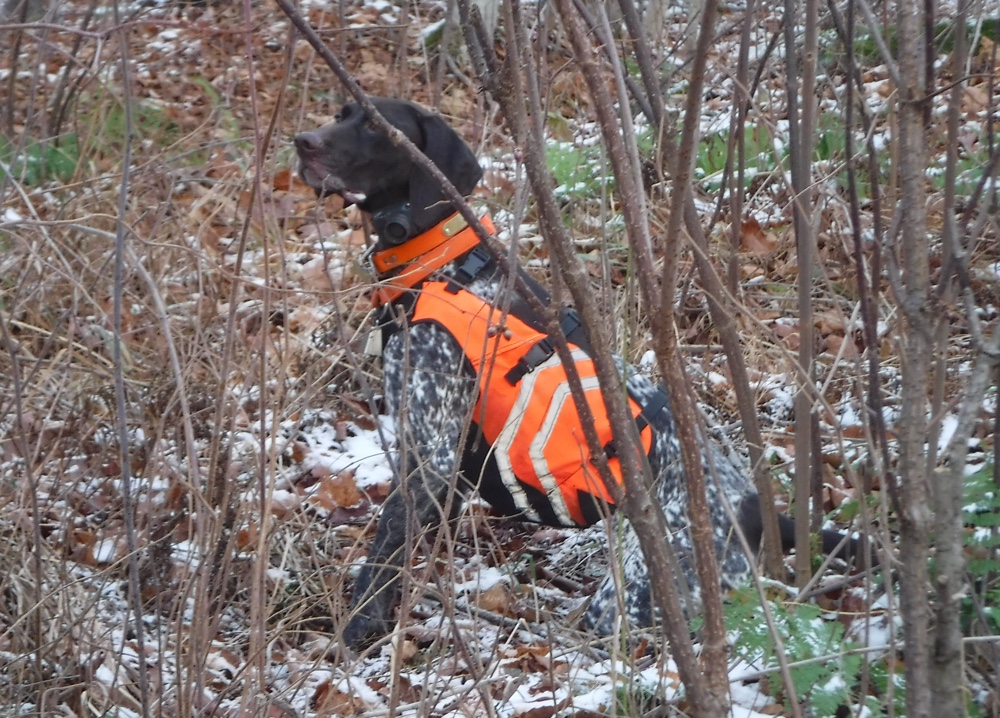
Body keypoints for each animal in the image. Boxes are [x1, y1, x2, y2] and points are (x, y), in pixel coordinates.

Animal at [292, 98, 864, 648]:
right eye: (342, 114)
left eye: (376, 125)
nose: (303, 142)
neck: (442, 265)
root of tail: (754, 512)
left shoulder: (427, 457)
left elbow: (383, 558)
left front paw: (357, 631)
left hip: (629, 598)